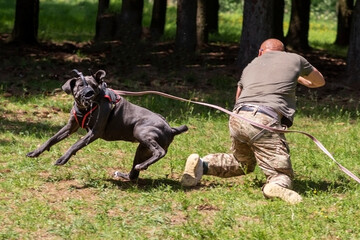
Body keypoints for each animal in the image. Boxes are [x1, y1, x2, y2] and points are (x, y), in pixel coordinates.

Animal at [26, 70, 188, 180]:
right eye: (80, 85)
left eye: (94, 86)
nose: (89, 94)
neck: (85, 108)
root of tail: (171, 129)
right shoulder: (70, 127)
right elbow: (51, 139)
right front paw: (35, 152)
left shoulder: (94, 132)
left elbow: (75, 144)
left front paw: (63, 159)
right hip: (142, 149)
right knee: (135, 174)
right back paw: (126, 174)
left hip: (141, 132)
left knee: (160, 152)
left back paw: (142, 165)